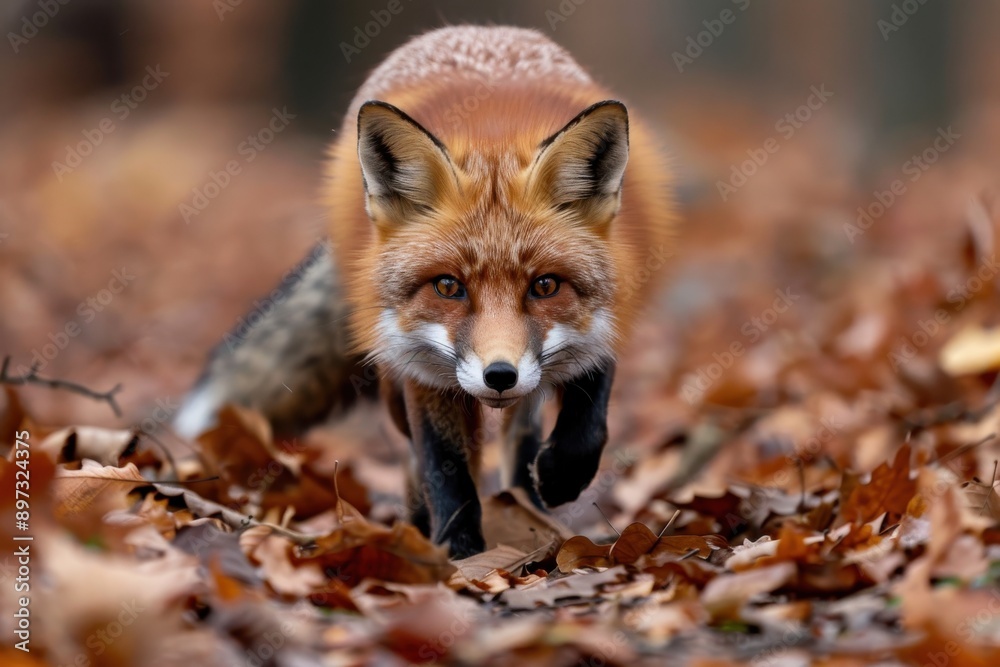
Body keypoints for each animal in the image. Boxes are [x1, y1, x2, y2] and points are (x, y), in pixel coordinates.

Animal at [175, 25, 673, 558]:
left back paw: (530, 506)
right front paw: (459, 553)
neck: (493, 136)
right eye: (448, 286)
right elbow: (444, 469)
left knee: (521, 432)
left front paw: (561, 475)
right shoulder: (422, 369)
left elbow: (589, 412)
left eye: (545, 285)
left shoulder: (607, 314)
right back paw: (422, 524)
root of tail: (477, 28)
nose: (500, 375)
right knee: (418, 457)